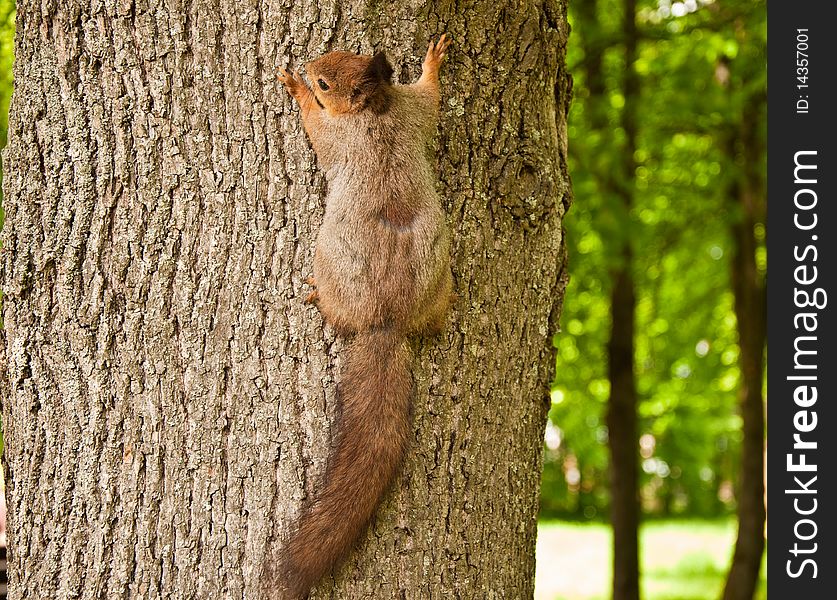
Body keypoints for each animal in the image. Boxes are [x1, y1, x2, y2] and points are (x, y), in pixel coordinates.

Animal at [266, 35, 454, 596]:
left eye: (327, 81)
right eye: (342, 53)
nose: (309, 67)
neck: (377, 109)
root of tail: (385, 322)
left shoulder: (340, 134)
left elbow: (315, 125)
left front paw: (295, 88)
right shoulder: (413, 111)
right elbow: (430, 95)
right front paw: (433, 61)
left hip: (329, 261)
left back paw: (318, 298)